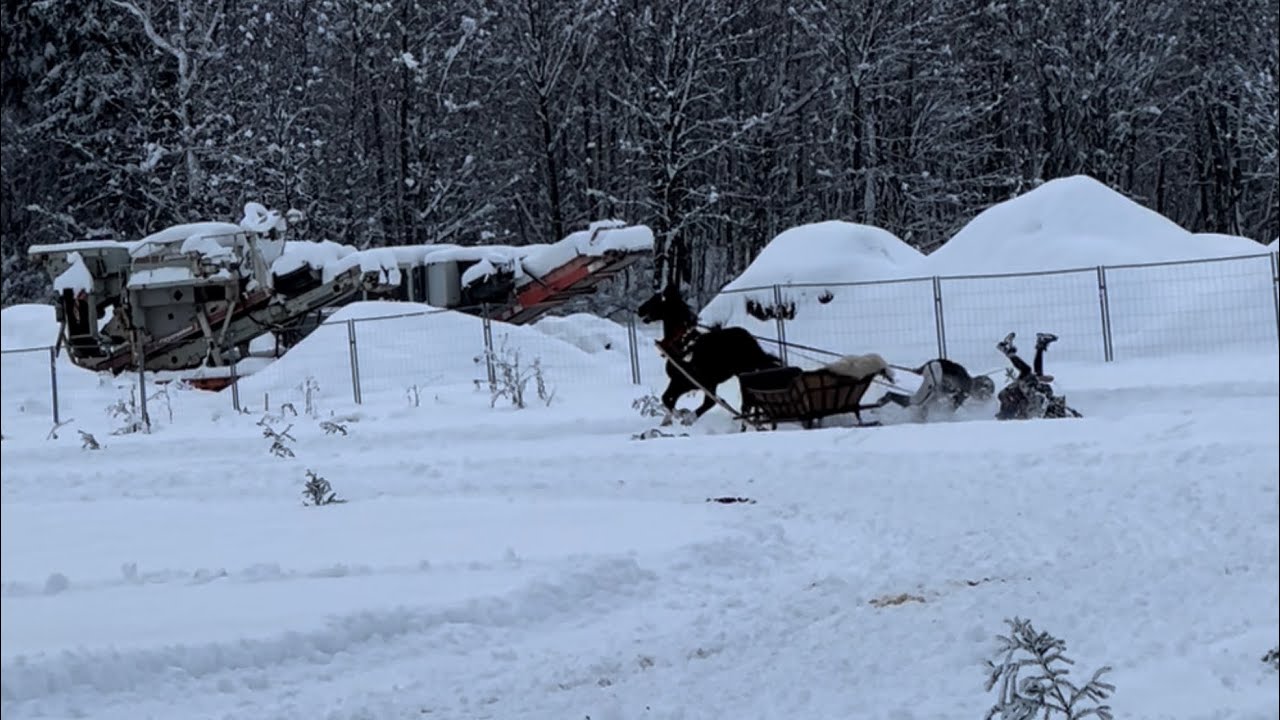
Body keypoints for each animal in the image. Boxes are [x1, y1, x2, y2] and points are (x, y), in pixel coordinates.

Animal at [637, 284, 783, 424]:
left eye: (657, 299)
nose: (639, 310)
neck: (683, 343)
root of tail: (749, 339)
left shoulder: (684, 382)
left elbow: (668, 399)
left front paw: (680, 415)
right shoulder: (681, 382)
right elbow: (667, 398)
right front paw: (668, 420)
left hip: (736, 377)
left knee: (735, 403)